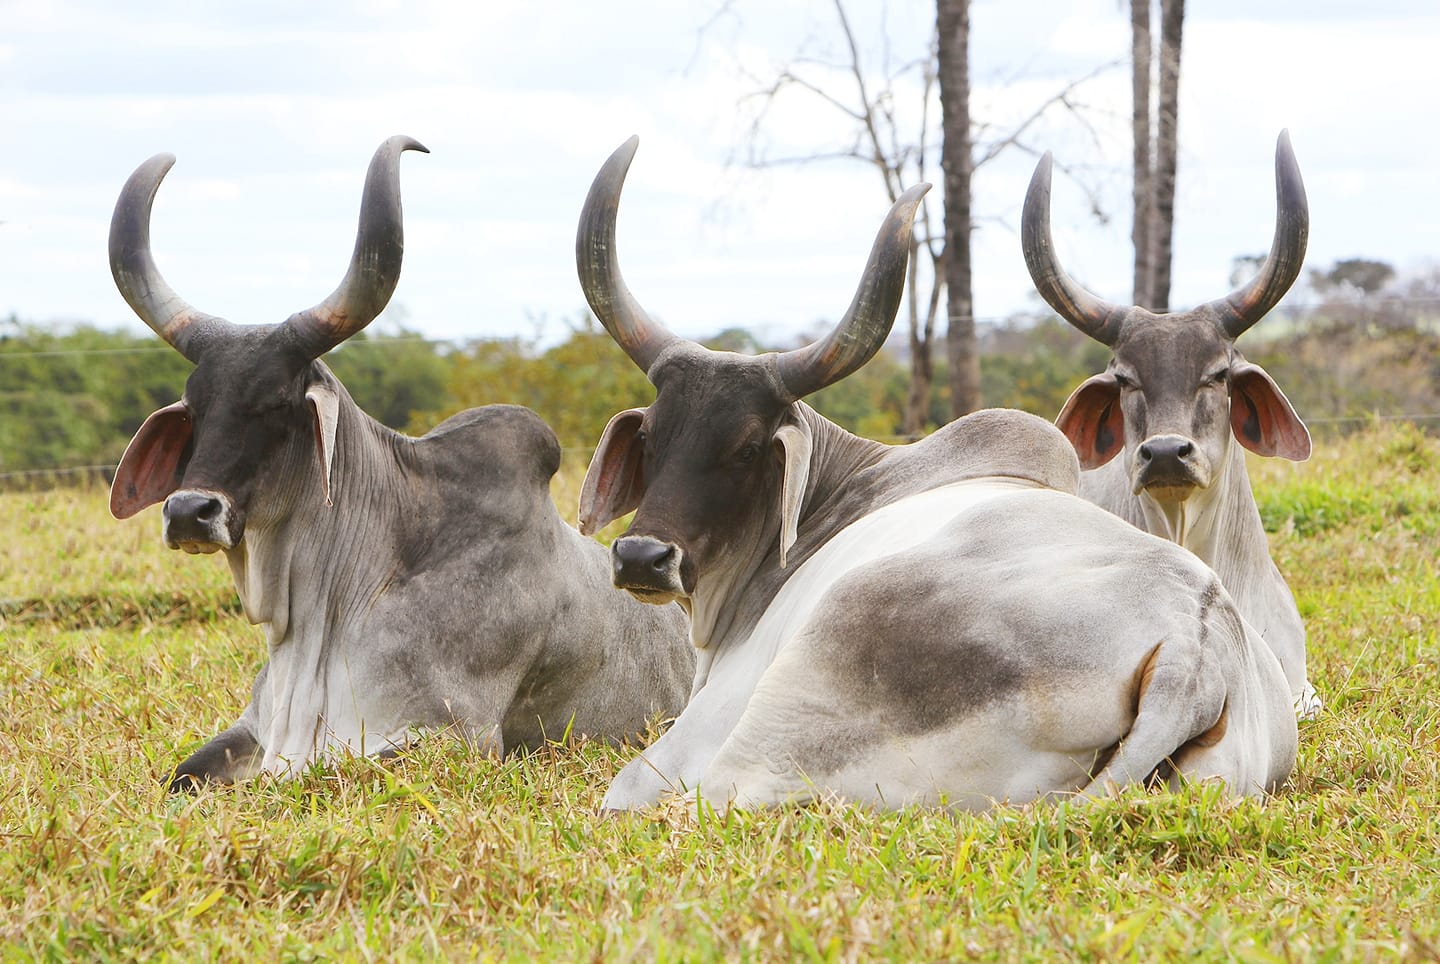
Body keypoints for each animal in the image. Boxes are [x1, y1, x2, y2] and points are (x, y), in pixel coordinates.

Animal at [109, 135, 694, 789]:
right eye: (195, 407)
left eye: (278, 404)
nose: (189, 511)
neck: (322, 619)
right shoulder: (250, 731)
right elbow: (181, 777)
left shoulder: (453, 737)